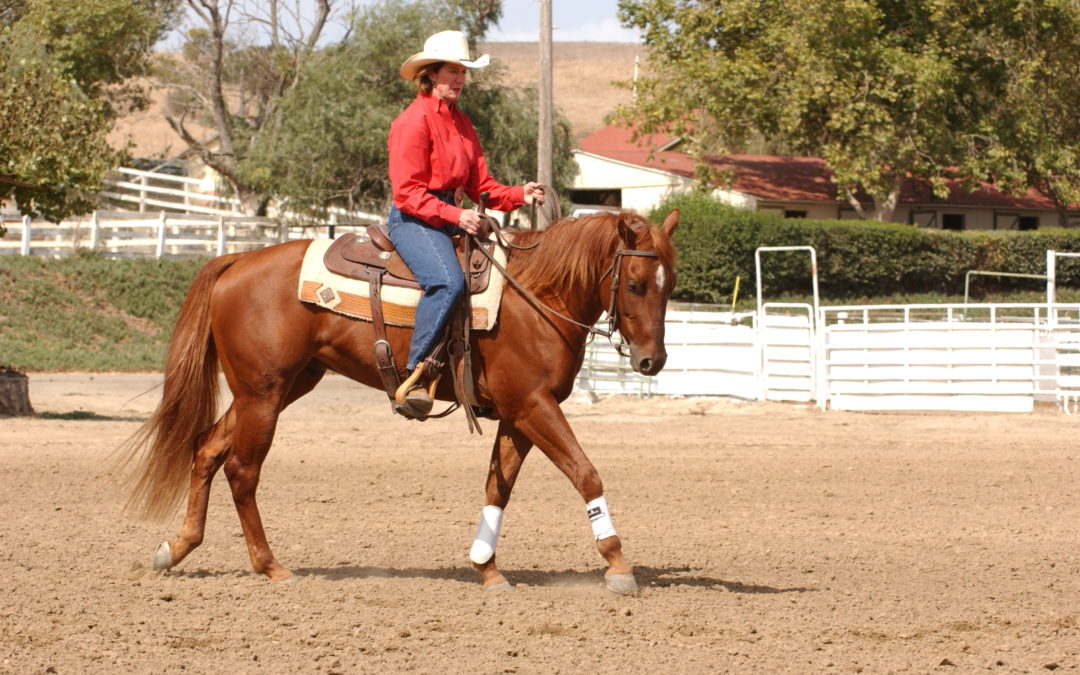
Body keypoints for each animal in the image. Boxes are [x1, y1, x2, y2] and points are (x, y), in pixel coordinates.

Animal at [122, 208, 678, 591]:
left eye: (669, 285)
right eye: (634, 284)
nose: (653, 361)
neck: (537, 295)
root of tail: (237, 259)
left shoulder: (517, 414)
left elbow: (498, 488)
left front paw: (487, 569)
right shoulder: (534, 405)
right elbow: (586, 473)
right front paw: (618, 565)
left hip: (278, 386)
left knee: (207, 449)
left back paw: (177, 547)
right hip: (264, 392)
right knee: (241, 470)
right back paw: (271, 566)